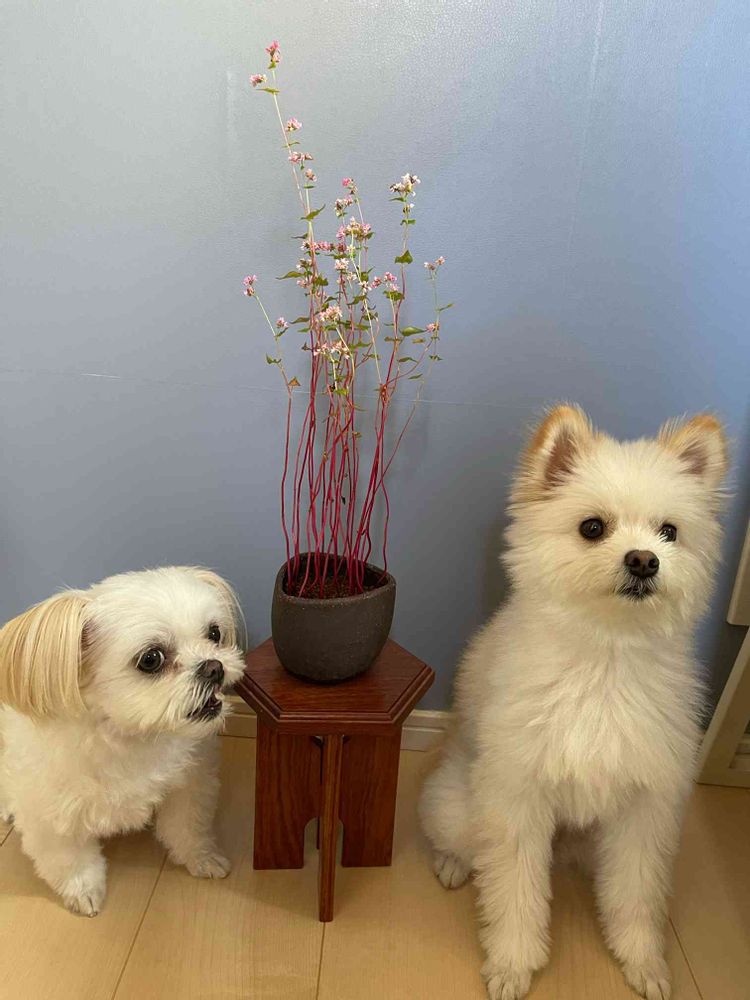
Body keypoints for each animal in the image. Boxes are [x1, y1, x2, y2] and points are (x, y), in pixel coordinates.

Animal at [0, 566, 246, 916]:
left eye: (213, 634)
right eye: (151, 658)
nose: (214, 667)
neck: (129, 737)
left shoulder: (188, 785)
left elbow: (188, 827)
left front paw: (202, 858)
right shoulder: (52, 818)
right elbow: (70, 862)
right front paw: (84, 893)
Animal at [419, 405, 728, 1000]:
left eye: (670, 532)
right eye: (592, 528)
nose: (644, 560)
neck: (605, 658)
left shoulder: (643, 814)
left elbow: (635, 896)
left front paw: (642, 960)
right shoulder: (517, 804)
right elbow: (514, 893)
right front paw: (512, 962)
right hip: (461, 809)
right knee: (463, 844)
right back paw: (452, 865)